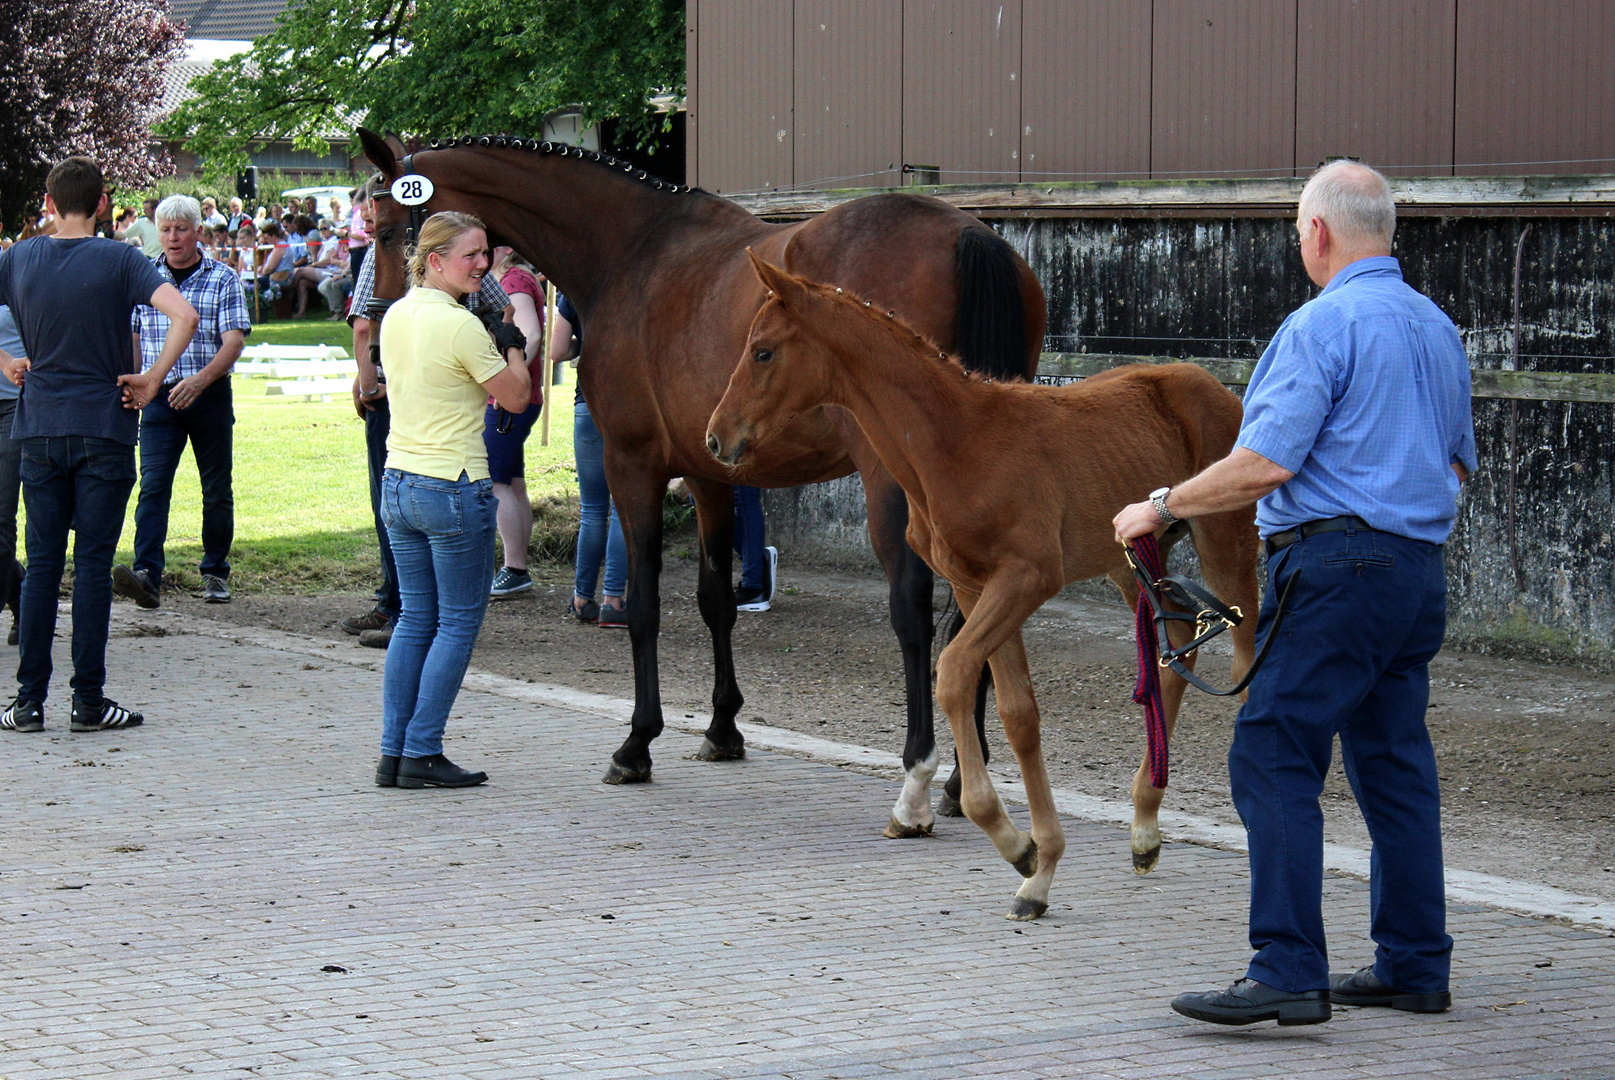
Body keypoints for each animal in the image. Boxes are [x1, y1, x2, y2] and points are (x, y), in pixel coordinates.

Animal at [356, 126, 1046, 833]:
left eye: (385, 227)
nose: (376, 346)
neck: (628, 250)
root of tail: (966, 236)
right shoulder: (709, 468)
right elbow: (716, 600)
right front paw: (722, 728)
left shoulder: (632, 464)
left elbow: (642, 604)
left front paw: (636, 744)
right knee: (978, 618)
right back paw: (962, 780)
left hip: (893, 481)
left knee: (912, 609)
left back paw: (920, 780)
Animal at [710, 255, 1259, 916]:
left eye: (763, 352)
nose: (715, 438)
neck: (957, 441)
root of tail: (1214, 384)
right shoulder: (977, 586)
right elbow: (1018, 711)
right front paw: (1038, 869)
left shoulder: (1027, 577)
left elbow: (952, 674)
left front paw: (1008, 838)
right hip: (1130, 560)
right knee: (1175, 644)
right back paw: (1144, 828)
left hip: (1226, 542)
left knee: (1246, 662)